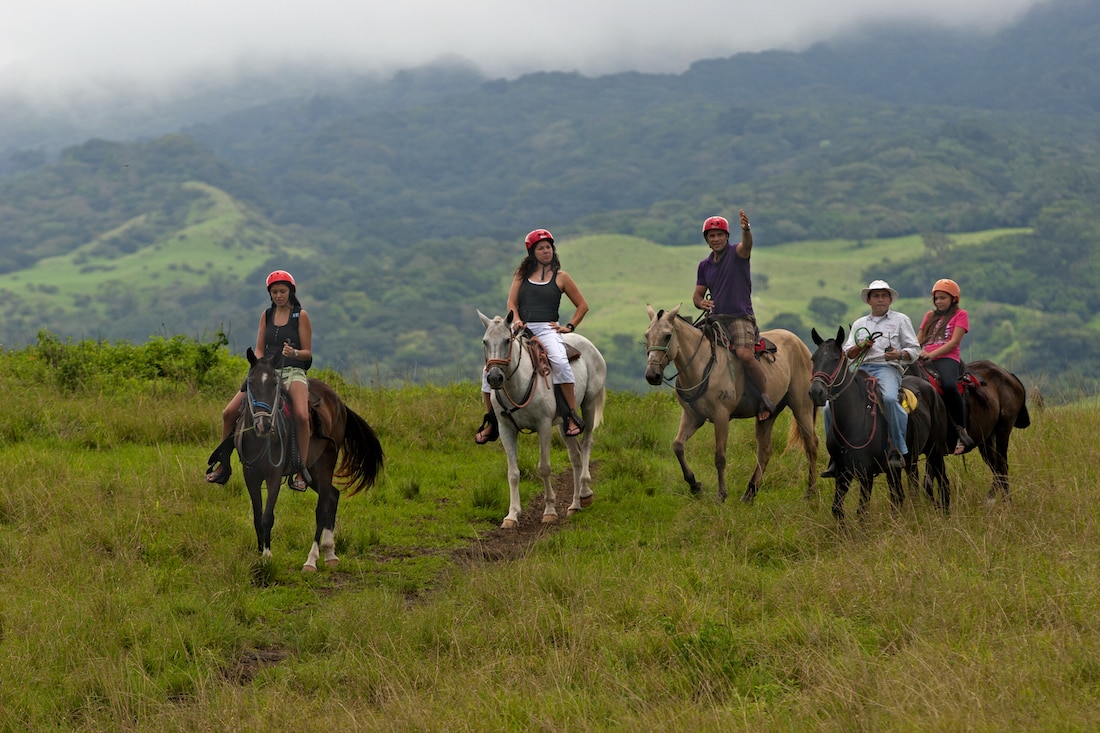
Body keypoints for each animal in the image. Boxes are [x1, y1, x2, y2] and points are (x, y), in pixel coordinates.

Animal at [642, 301, 818, 501]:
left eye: (667, 336)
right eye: (647, 335)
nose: (652, 375)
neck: (702, 364)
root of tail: (801, 345)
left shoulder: (721, 416)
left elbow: (720, 457)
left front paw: (721, 494)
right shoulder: (692, 416)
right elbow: (678, 446)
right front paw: (695, 485)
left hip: (802, 406)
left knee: (811, 445)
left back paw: (810, 492)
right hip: (768, 414)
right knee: (765, 451)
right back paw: (749, 494)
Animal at [809, 325, 954, 519]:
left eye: (834, 359)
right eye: (813, 358)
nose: (816, 392)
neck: (853, 419)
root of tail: (931, 389)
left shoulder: (866, 473)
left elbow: (862, 511)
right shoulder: (842, 472)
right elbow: (837, 509)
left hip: (935, 452)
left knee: (943, 484)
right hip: (908, 462)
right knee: (905, 492)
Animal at [906, 354, 1025, 501]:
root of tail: (1008, 374)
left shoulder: (935, 447)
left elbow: (927, 484)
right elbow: (924, 486)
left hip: (1003, 430)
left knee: (1002, 466)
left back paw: (1004, 501)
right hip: (986, 439)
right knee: (996, 466)